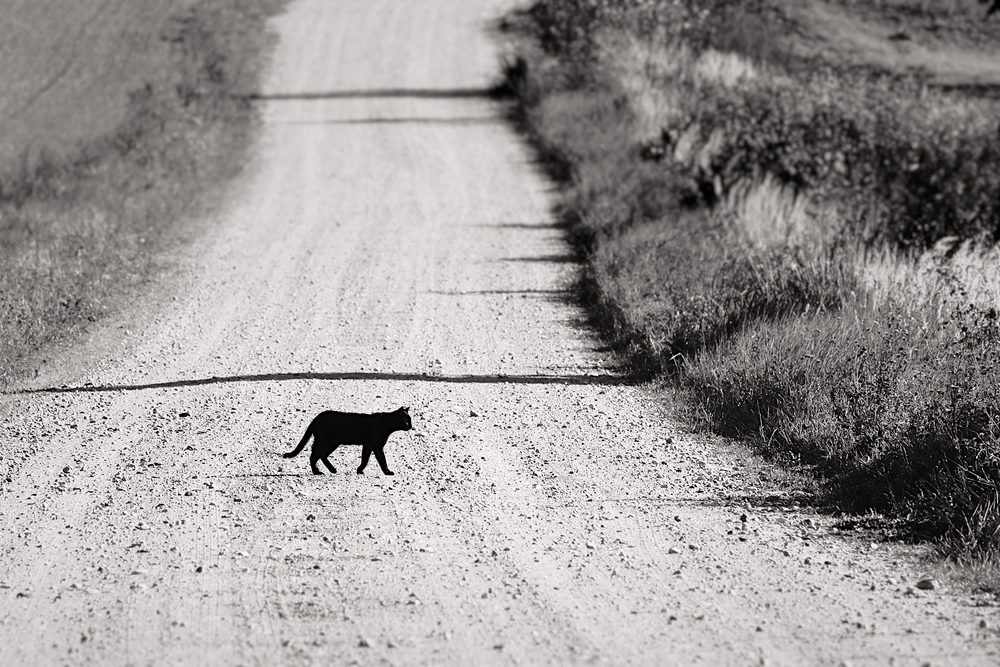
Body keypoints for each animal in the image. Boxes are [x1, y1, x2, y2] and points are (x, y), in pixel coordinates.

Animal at [286, 408, 414, 474]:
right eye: (408, 420)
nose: (411, 426)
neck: (387, 424)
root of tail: (317, 418)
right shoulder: (377, 446)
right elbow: (382, 459)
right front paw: (388, 472)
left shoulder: (368, 446)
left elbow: (365, 459)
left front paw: (359, 470)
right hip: (324, 441)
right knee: (314, 455)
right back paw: (317, 471)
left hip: (333, 443)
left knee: (322, 455)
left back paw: (333, 470)